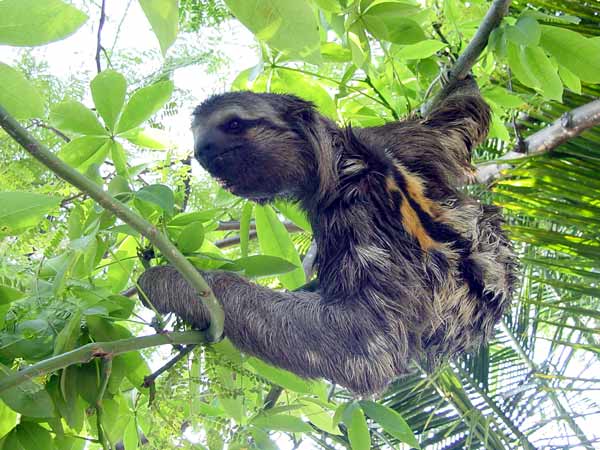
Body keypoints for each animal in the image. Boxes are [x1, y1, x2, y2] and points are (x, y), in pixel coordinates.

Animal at [138, 76, 516, 395]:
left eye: (233, 124)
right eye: (198, 137)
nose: (203, 148)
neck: (345, 161)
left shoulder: (355, 214)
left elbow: (363, 342)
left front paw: (167, 281)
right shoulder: (396, 139)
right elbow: (456, 124)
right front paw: (458, 75)